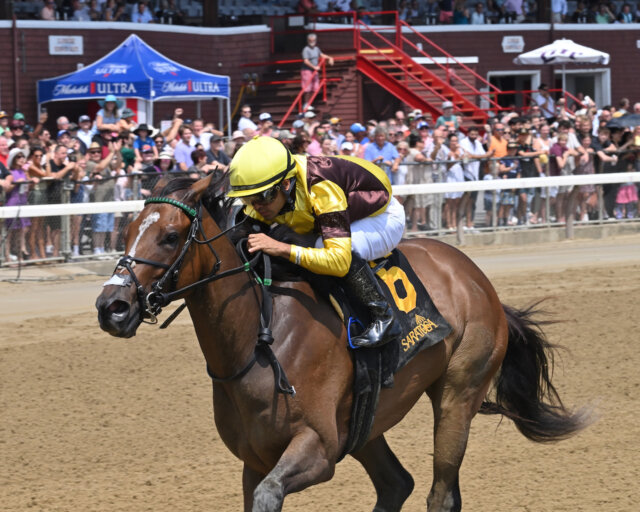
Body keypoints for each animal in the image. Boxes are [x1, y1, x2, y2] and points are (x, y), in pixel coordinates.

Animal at [96, 174, 592, 510]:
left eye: (170, 237)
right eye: (127, 232)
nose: (111, 306)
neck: (259, 343)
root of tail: (476, 278)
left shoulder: (316, 449)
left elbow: (271, 493)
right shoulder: (253, 461)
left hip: (458, 395)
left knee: (440, 493)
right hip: (366, 422)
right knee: (397, 484)